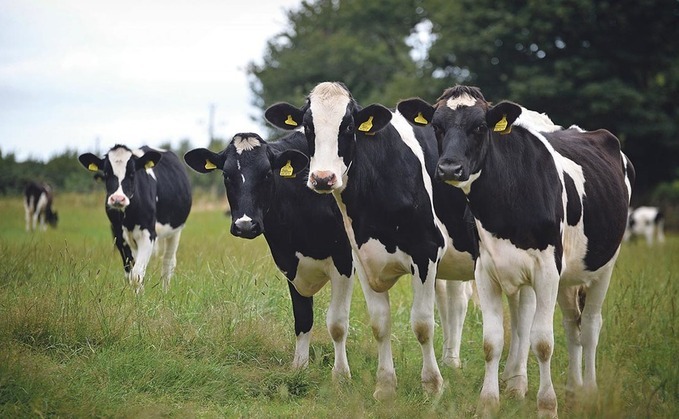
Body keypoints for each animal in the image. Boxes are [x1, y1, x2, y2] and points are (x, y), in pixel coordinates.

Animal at [78, 145, 192, 294]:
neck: (128, 217)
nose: (118, 198)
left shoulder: (148, 234)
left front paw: (140, 298)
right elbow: (130, 273)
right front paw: (137, 295)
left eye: (132, 173)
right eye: (106, 173)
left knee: (168, 262)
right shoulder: (119, 236)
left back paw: (165, 292)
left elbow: (136, 275)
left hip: (175, 231)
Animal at [183, 131, 355, 378]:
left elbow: (338, 323)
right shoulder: (290, 264)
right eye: (226, 175)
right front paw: (299, 367)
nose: (245, 225)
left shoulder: (344, 261)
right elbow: (303, 318)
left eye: (266, 174)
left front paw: (341, 375)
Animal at [264, 81, 477, 400]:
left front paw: (432, 385)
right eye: (308, 126)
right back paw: (454, 363)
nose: (323, 178)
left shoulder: (426, 251)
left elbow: (422, 323)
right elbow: (379, 323)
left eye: (349, 126)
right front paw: (385, 386)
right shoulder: (362, 256)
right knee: (455, 300)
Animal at [398, 85, 635, 417]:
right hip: (568, 276)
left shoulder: (546, 271)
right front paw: (488, 402)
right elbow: (492, 341)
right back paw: (573, 390)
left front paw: (547, 406)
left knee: (589, 326)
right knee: (572, 325)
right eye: (437, 126)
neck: (505, 204)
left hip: (603, 266)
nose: (449, 167)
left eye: (480, 126)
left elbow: (543, 343)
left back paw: (589, 391)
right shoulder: (486, 271)